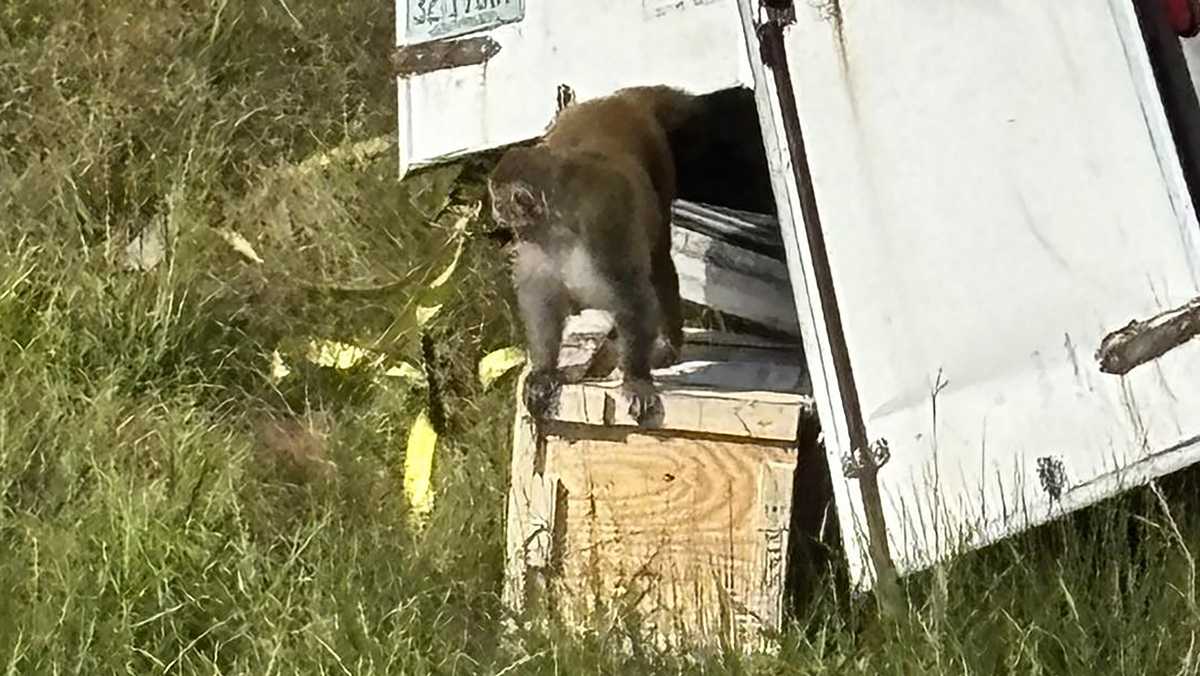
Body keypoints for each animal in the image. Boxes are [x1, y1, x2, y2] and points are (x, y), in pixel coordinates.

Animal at [488, 85, 702, 425]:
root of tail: (616, 100)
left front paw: (636, 379)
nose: (494, 212)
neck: (558, 222)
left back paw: (668, 344)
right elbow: (542, 299)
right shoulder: (536, 242)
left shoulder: (602, 224)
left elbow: (632, 294)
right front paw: (544, 370)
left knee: (658, 260)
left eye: (499, 201)